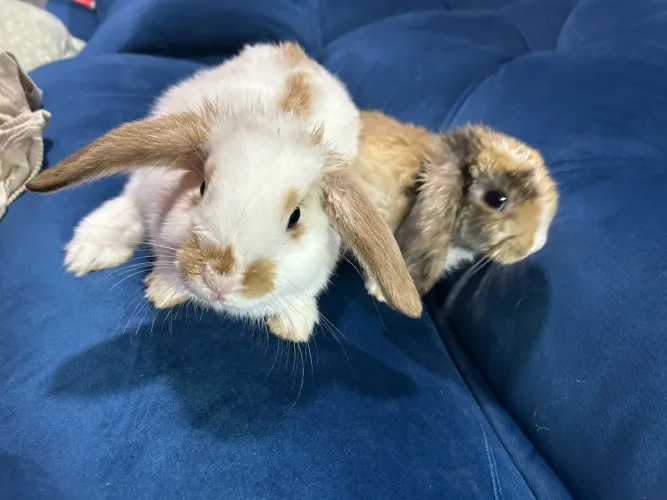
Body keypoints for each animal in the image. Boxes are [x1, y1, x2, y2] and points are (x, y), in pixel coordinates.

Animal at [26, 42, 422, 343]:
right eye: (202, 187)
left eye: (295, 217)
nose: (220, 281)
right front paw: (165, 291)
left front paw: (293, 326)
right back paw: (87, 251)